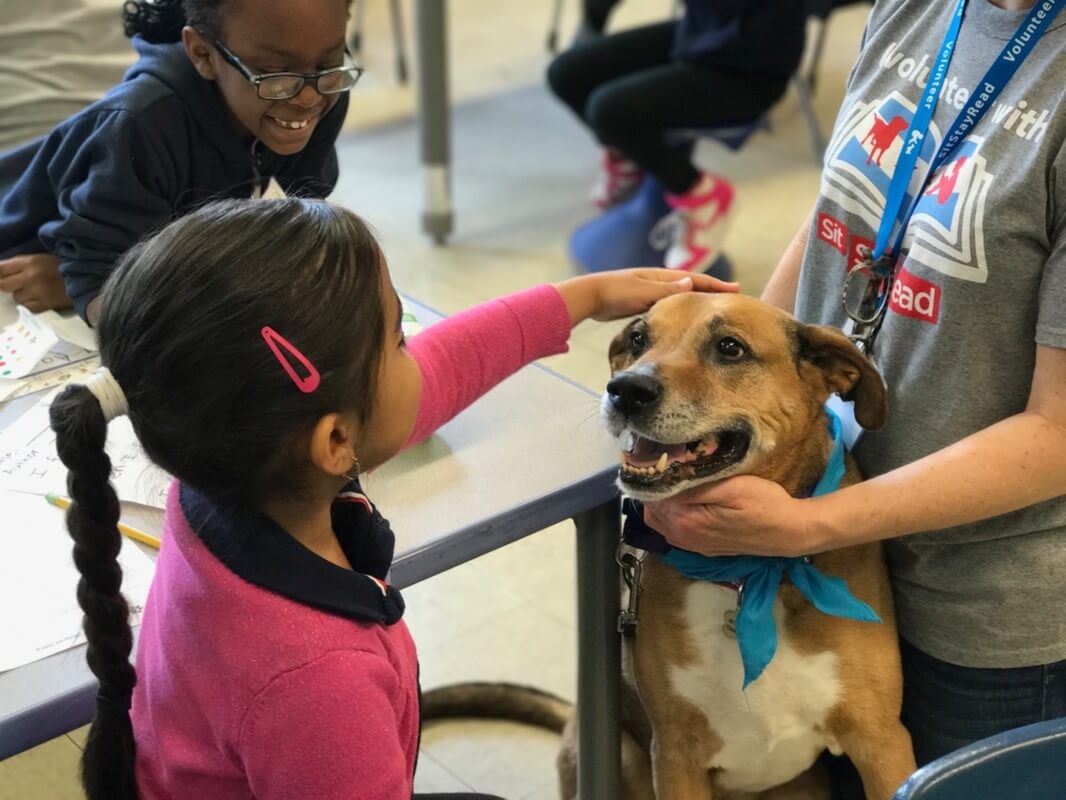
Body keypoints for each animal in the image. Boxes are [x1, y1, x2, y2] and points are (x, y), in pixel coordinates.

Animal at [420, 294, 912, 800]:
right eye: (639, 337)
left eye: (730, 347)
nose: (625, 390)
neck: (746, 575)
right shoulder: (675, 754)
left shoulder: (882, 742)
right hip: (623, 758)